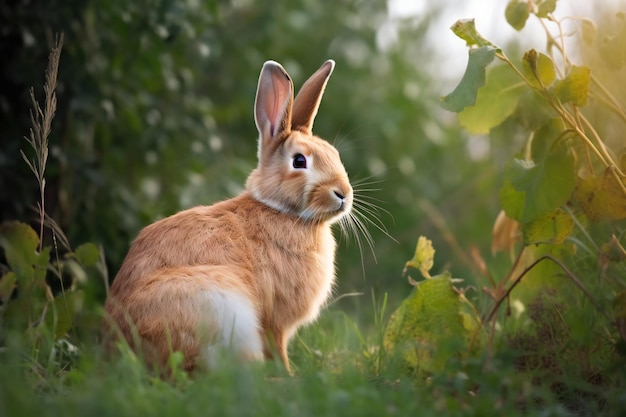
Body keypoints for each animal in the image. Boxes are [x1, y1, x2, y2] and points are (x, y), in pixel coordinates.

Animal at [105, 58, 354, 374]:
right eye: (299, 161)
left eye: (334, 154)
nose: (343, 193)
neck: (281, 211)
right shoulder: (274, 321)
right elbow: (278, 347)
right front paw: (289, 375)